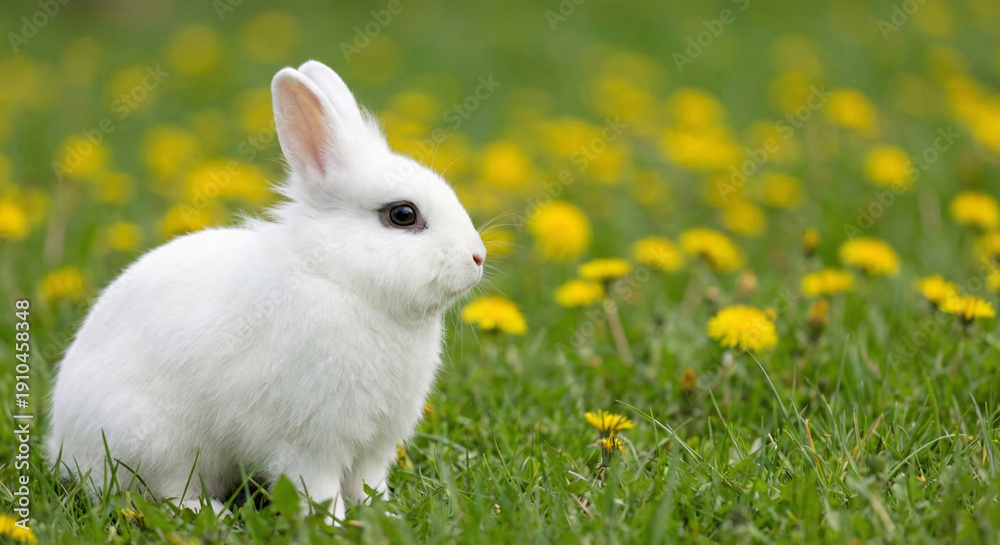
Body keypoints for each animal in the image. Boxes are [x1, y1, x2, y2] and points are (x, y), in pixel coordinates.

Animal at [45, 60, 487, 522]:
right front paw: (332, 524)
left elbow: (367, 484)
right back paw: (210, 512)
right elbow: (320, 487)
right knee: (162, 491)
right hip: (152, 439)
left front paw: (383, 515)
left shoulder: (374, 445)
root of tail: (61, 444)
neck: (338, 278)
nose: (478, 257)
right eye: (403, 215)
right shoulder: (308, 442)